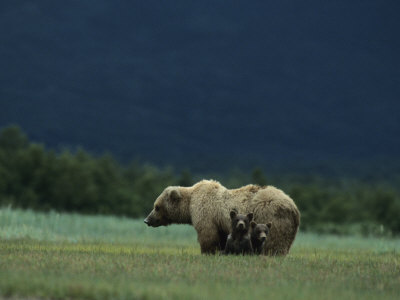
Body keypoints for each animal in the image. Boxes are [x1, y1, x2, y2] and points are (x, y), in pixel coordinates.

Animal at [144, 180, 300, 255]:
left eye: (156, 207)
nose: (147, 220)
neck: (190, 204)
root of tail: (294, 207)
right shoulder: (222, 224)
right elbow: (223, 238)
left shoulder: (206, 213)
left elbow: (208, 236)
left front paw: (208, 252)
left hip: (272, 217)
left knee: (273, 243)